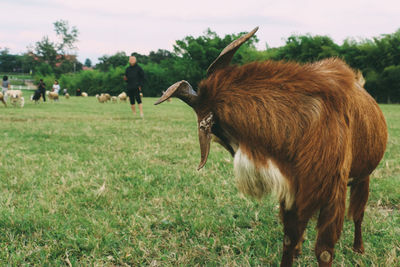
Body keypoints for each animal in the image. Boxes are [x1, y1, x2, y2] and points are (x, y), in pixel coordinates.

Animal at [155, 27, 386, 267]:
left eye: (217, 131)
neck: (307, 122)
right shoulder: (294, 189)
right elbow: (289, 237)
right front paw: (294, 250)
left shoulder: (332, 190)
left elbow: (324, 250)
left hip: (363, 177)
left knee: (358, 213)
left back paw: (358, 248)